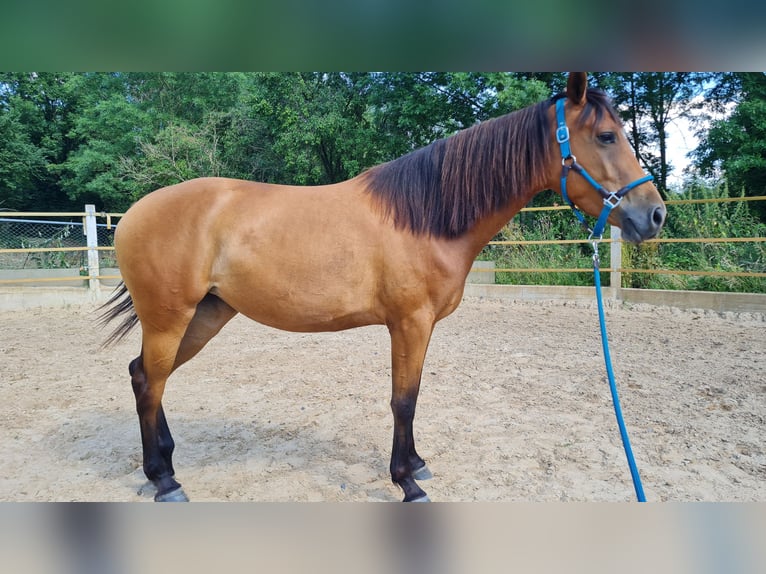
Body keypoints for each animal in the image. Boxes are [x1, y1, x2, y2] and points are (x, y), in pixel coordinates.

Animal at [100, 73, 664, 504]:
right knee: (150, 383)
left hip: (207, 314)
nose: (655, 215)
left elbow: (412, 396)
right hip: (170, 318)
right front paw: (407, 483)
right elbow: (403, 400)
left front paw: (416, 463)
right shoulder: (409, 323)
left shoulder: (419, 327)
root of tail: (133, 214)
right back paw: (165, 481)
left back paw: (163, 466)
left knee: (145, 376)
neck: (426, 215)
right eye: (607, 136)